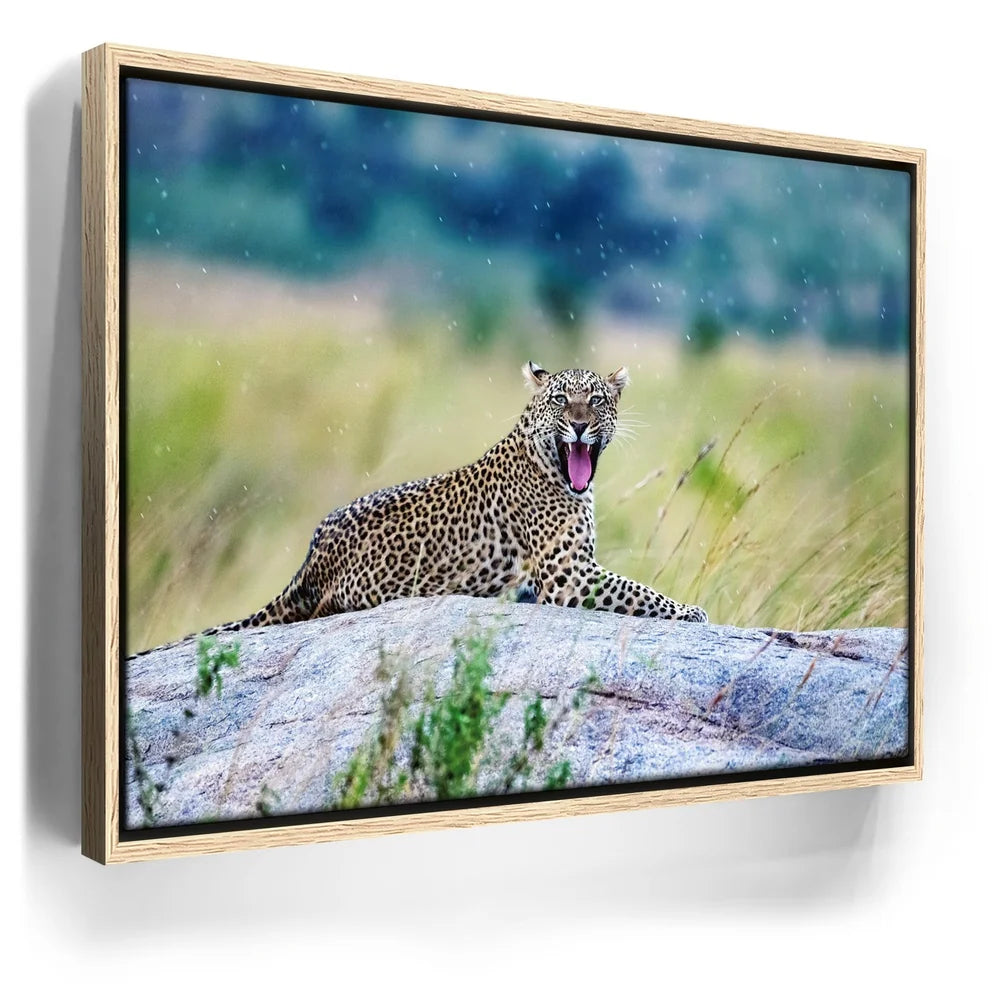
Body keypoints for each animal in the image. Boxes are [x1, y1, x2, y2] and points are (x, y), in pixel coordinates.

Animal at [134, 361, 706, 656]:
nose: (582, 426)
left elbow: (637, 589)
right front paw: (692, 612)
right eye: (561, 401)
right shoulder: (569, 575)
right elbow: (640, 592)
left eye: (598, 400)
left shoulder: (574, 571)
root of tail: (311, 558)